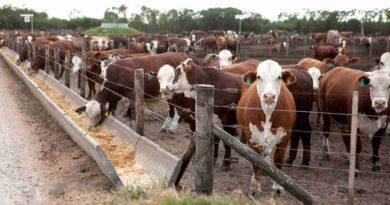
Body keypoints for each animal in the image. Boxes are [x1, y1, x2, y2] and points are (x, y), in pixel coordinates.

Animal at [236, 60, 298, 195]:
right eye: (259, 77)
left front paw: (278, 186)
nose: (269, 96)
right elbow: (255, 161)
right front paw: (255, 186)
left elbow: (278, 160)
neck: (268, 114)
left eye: (279, 77)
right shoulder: (252, 138)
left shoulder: (284, 138)